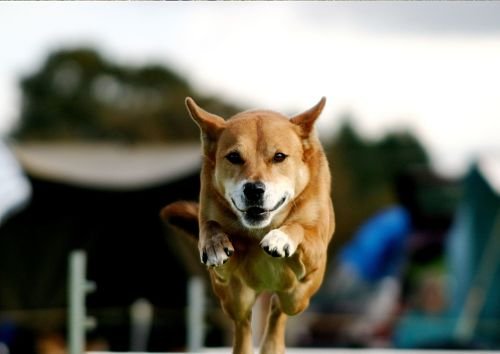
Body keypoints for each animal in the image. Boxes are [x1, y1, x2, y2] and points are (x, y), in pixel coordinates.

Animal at [164, 97, 334, 354]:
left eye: (279, 156)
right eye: (234, 157)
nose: (254, 190)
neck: (261, 228)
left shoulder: (314, 253)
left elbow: (299, 228)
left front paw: (280, 238)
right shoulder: (223, 269)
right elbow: (211, 225)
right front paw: (214, 245)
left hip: (297, 296)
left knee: (278, 309)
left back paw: (272, 344)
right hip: (236, 298)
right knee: (243, 323)